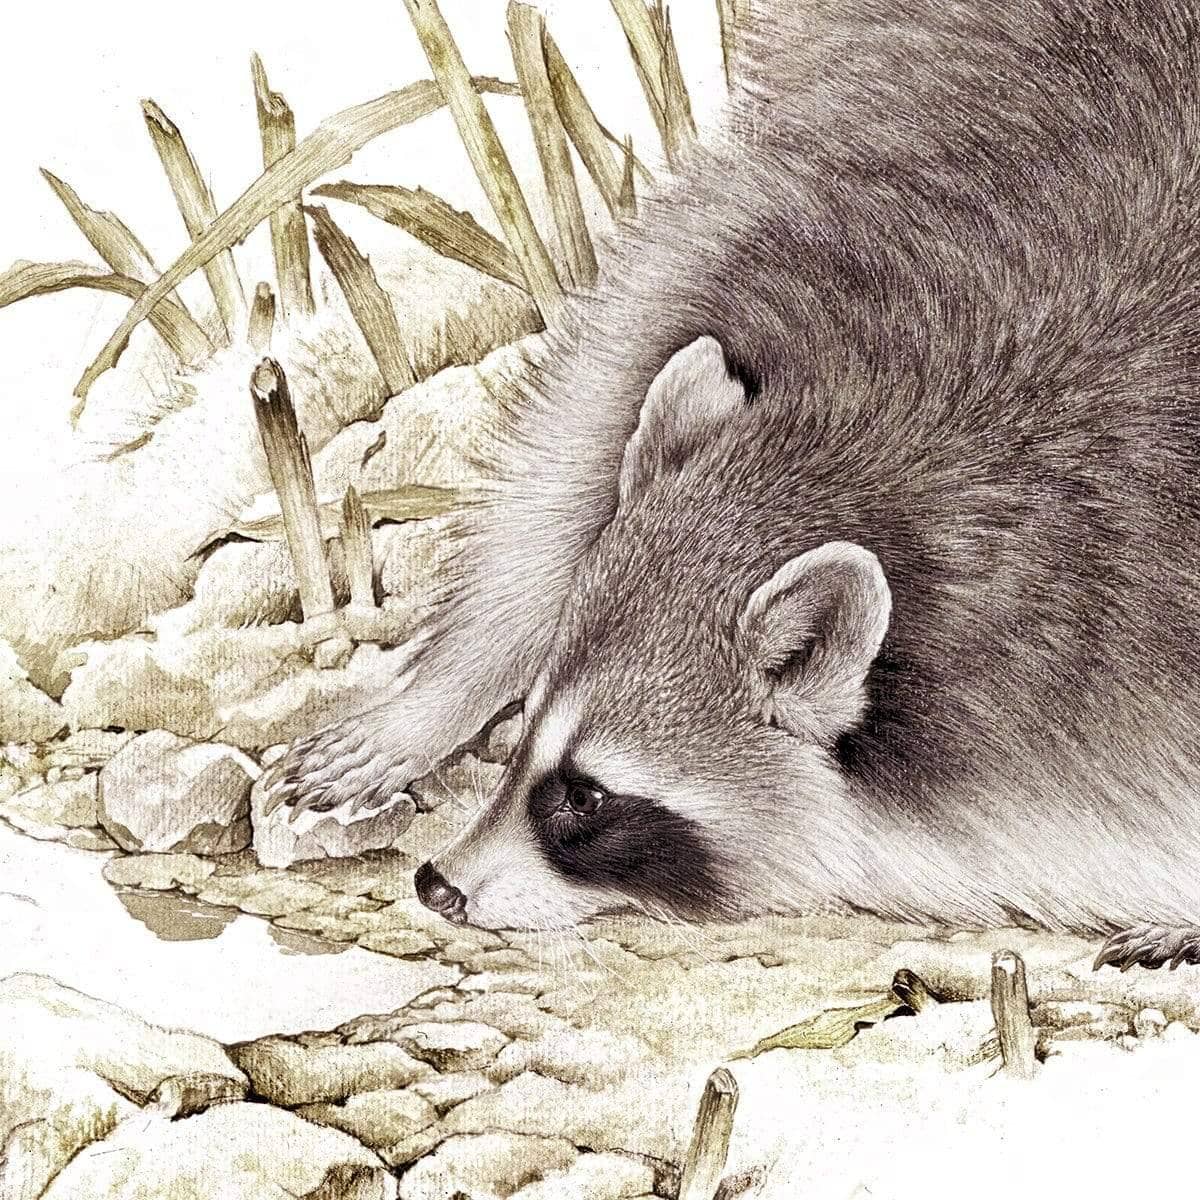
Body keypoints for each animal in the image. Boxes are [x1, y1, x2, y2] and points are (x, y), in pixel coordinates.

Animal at [265, 0, 1200, 968]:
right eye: (526, 740)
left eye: (589, 793)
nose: (437, 885)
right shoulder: (789, 240)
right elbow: (575, 435)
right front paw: (447, 688)